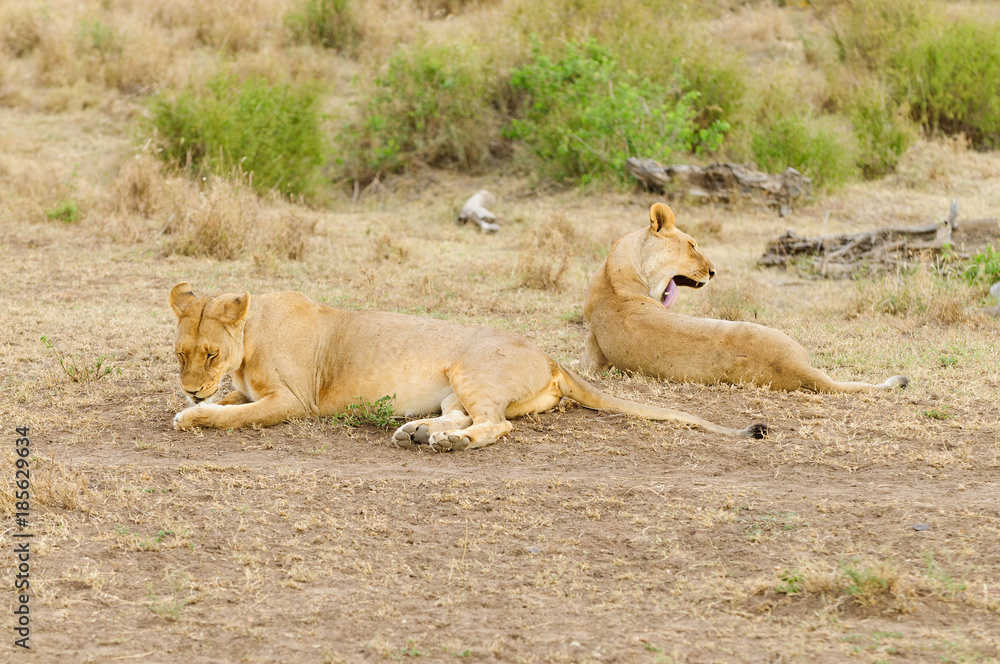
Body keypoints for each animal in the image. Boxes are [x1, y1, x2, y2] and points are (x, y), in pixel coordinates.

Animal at [168, 282, 766, 450]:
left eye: (211, 353)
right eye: (181, 354)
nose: (191, 390)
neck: (249, 338)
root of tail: (548, 354)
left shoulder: (293, 401)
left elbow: (231, 414)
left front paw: (194, 415)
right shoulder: (248, 388)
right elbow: (231, 399)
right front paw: (197, 404)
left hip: (470, 370)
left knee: (493, 425)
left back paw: (444, 442)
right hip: (457, 386)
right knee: (467, 416)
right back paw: (416, 431)